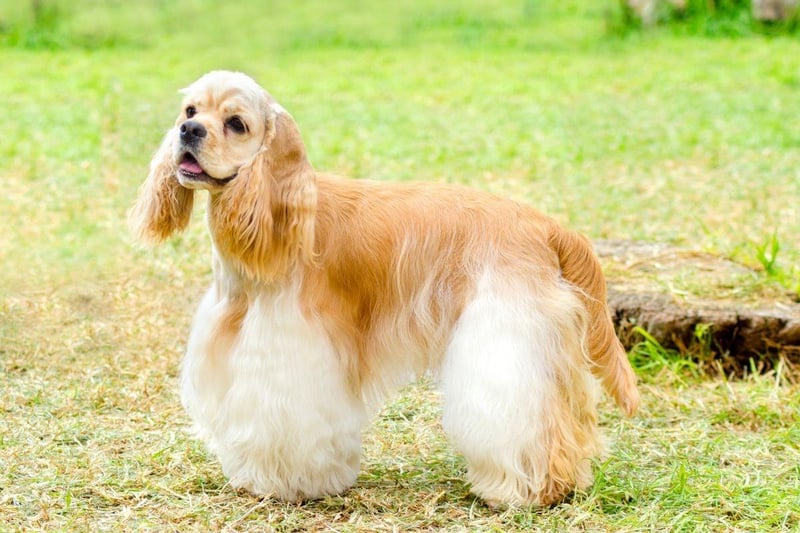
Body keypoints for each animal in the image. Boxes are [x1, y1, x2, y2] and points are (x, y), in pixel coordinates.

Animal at [134, 70, 640, 508]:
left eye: (236, 123)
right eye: (190, 109)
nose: (188, 131)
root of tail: (547, 225)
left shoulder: (294, 350)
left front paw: (290, 484)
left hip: (505, 334)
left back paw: (527, 489)